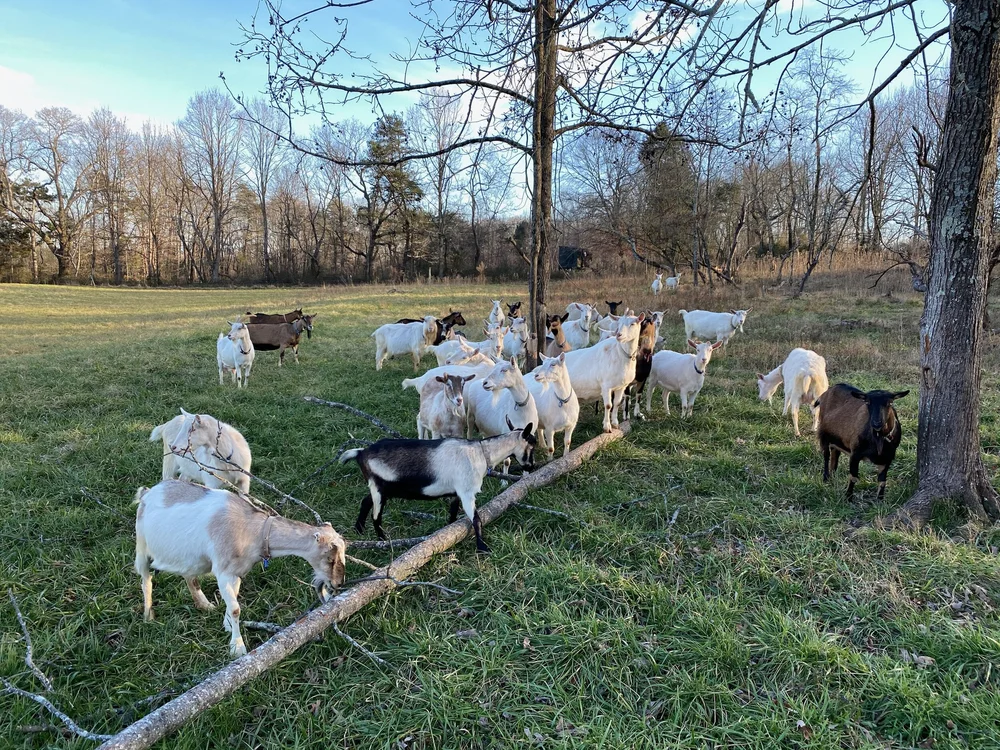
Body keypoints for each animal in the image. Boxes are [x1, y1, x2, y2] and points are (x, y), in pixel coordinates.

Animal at [134, 480, 346, 657]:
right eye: (329, 558)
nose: (338, 583)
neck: (254, 532)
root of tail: (148, 492)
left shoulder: (236, 572)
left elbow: (233, 602)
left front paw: (227, 625)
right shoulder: (224, 572)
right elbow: (236, 608)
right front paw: (237, 647)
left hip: (190, 557)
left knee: (189, 577)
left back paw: (205, 605)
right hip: (142, 547)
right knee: (146, 580)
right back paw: (148, 615)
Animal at [340, 424, 537, 553]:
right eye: (531, 446)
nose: (532, 466)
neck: (480, 453)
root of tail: (361, 453)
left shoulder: (456, 493)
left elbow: (452, 515)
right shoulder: (467, 492)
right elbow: (477, 519)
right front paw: (482, 548)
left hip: (383, 489)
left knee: (366, 501)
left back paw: (359, 529)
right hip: (379, 488)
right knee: (376, 517)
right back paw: (383, 542)